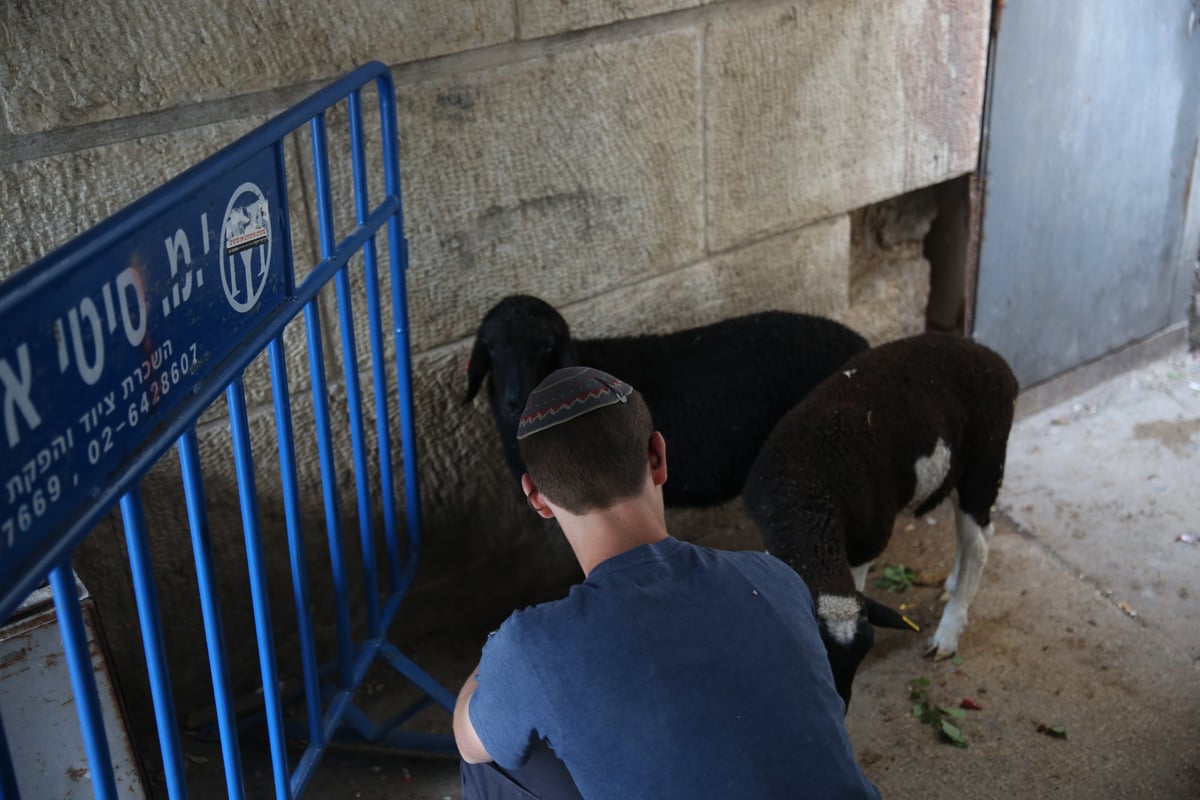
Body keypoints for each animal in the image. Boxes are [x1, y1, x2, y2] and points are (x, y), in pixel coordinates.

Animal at [744, 335, 1017, 710]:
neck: (802, 494)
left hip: (986, 459)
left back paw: (948, 632)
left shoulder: (868, 541)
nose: (841, 705)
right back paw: (951, 582)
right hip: (960, 467)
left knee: (978, 542)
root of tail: (993, 358)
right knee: (973, 532)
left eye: (861, 656)